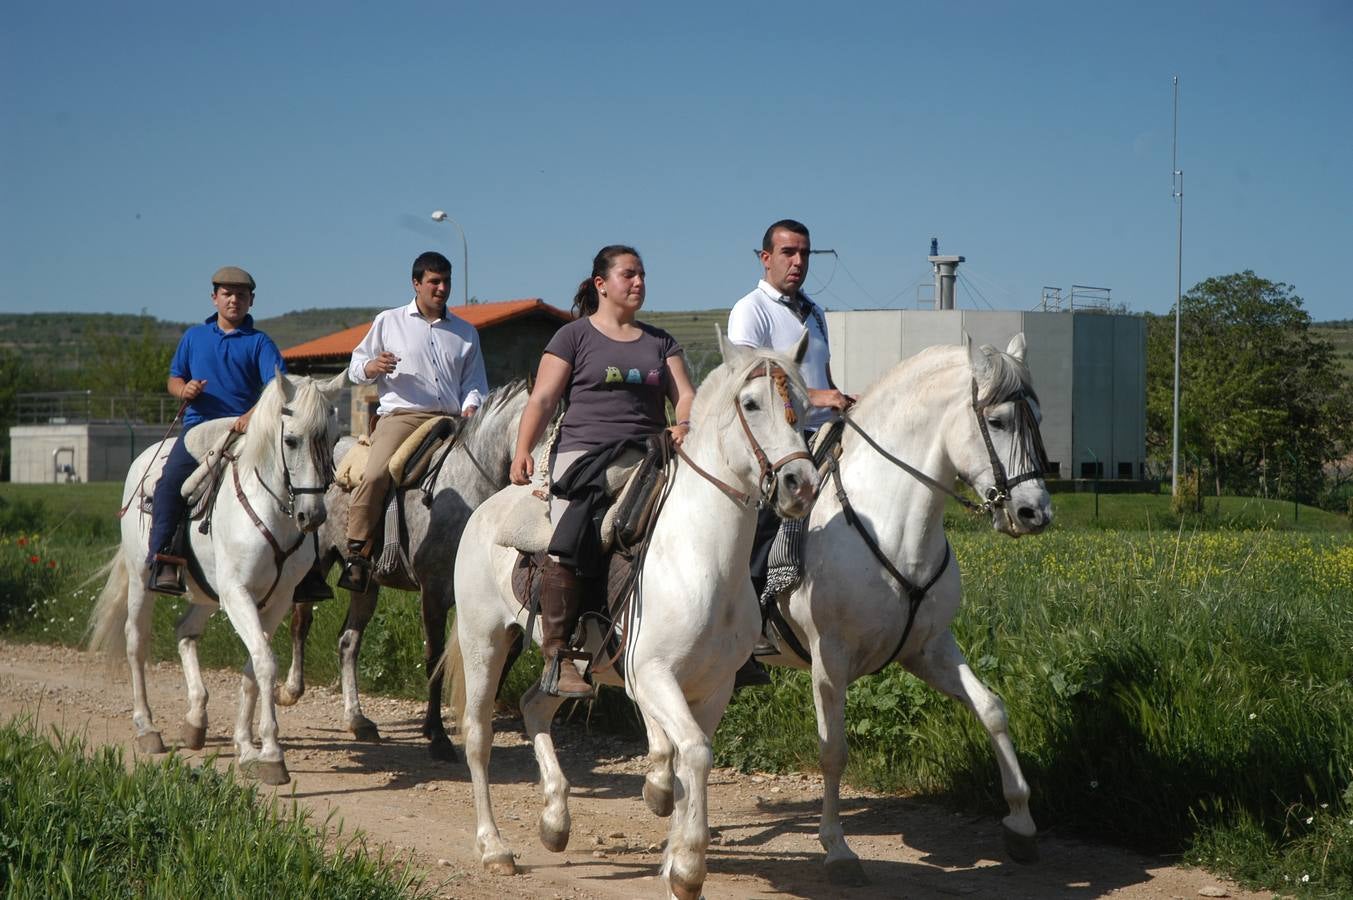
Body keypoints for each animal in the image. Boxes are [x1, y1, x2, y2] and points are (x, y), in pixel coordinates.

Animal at [89, 368, 343, 784]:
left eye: (334, 439)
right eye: (291, 440)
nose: (313, 515)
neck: (268, 509)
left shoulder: (277, 599)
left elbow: (254, 666)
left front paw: (247, 748)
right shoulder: (237, 593)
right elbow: (264, 662)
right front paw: (271, 754)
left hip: (207, 593)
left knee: (185, 631)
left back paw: (196, 720)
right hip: (144, 581)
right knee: (136, 643)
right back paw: (147, 728)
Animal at [449, 331, 817, 898]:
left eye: (802, 405)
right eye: (752, 404)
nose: (801, 484)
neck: (700, 553)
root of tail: (489, 508)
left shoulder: (714, 686)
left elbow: (689, 756)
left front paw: (675, 848)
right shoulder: (652, 674)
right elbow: (690, 753)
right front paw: (686, 865)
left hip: (571, 664)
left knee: (535, 704)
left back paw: (555, 820)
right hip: (484, 640)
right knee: (478, 735)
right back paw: (494, 848)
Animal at [736, 332, 1049, 882]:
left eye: (1036, 416)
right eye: (996, 421)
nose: (1035, 512)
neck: (888, 521)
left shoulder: (928, 648)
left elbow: (992, 710)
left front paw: (1020, 823)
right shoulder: (829, 659)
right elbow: (833, 751)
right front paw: (837, 849)